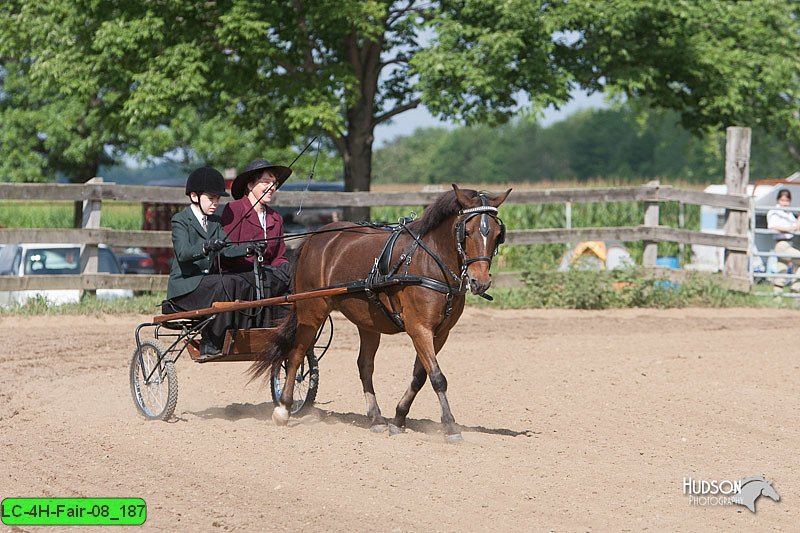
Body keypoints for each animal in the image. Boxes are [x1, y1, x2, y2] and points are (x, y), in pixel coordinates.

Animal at [252, 183, 512, 440]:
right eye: (466, 231)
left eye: (497, 234)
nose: (480, 282)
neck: (430, 262)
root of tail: (315, 238)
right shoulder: (419, 328)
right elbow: (438, 377)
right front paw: (449, 425)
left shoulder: (440, 333)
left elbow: (420, 376)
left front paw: (398, 418)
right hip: (311, 311)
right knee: (296, 355)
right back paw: (284, 409)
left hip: (368, 321)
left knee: (364, 366)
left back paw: (376, 418)